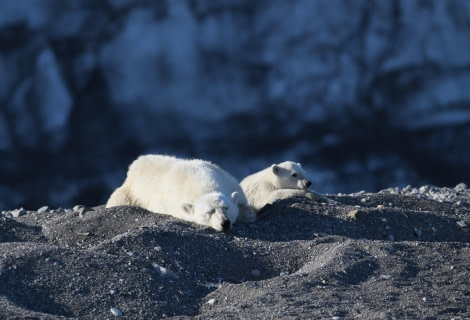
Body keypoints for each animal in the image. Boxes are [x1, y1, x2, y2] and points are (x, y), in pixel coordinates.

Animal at [106, 154, 255, 231]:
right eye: (209, 212)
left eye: (226, 208)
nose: (225, 223)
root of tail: (135, 164)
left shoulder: (229, 180)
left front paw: (247, 213)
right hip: (128, 193)